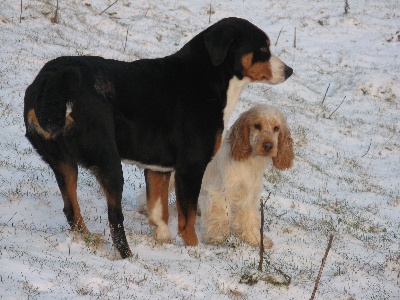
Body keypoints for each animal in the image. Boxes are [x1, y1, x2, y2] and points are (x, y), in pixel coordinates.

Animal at [198, 104, 294, 247]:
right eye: (257, 125)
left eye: (276, 128)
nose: (268, 145)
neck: (250, 162)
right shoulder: (218, 192)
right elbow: (219, 215)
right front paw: (216, 237)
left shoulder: (248, 196)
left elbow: (250, 219)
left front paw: (256, 239)